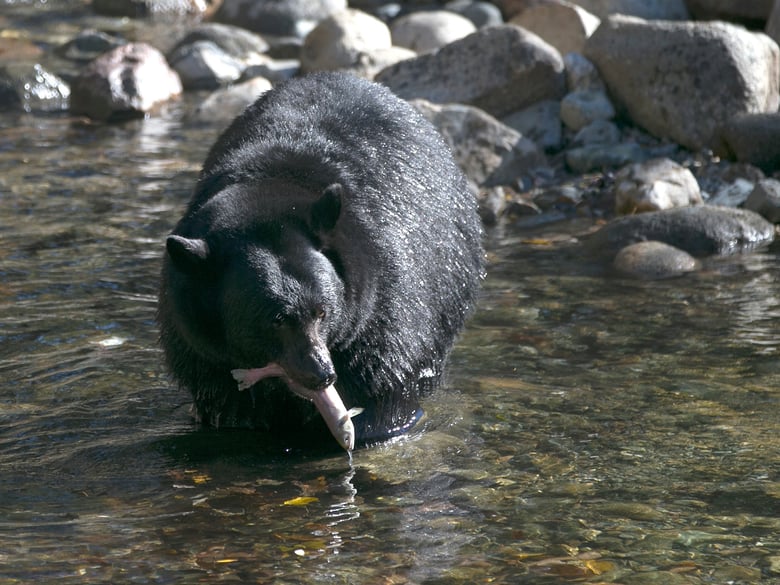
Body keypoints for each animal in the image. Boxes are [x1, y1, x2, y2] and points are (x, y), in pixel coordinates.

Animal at [157, 71, 484, 450]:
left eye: (322, 312)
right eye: (276, 319)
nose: (322, 374)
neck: (266, 189)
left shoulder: (384, 302)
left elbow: (384, 379)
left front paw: (372, 424)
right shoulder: (199, 342)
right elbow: (226, 402)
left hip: (452, 274)